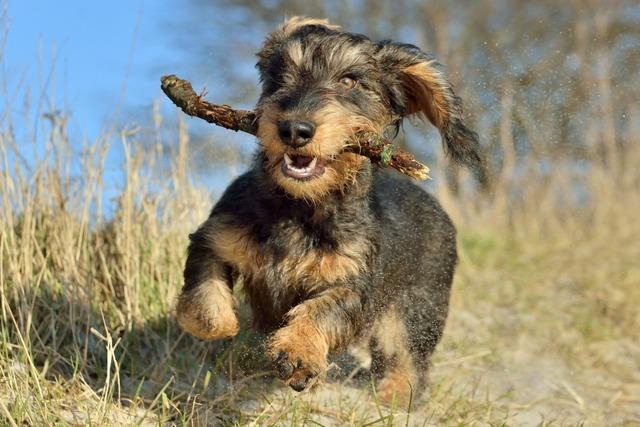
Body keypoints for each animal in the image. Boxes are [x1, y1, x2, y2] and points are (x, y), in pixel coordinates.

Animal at [175, 16, 480, 402]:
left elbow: (321, 310)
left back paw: (397, 393)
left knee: (407, 354)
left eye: (349, 80)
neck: (299, 208)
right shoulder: (215, 237)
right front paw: (225, 324)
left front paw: (299, 351)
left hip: (419, 308)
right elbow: (204, 301)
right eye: (280, 76)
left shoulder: (352, 283)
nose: (293, 129)